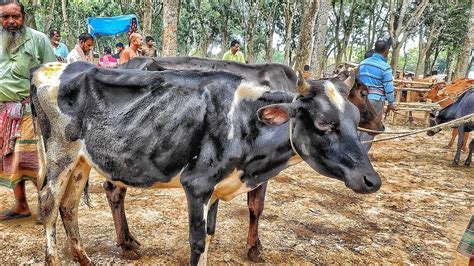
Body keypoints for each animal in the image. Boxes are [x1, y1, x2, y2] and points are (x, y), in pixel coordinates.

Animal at [30, 61, 382, 264]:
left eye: (353, 118)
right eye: (323, 123)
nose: (372, 180)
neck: (244, 122)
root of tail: (50, 68)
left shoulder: (216, 188)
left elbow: (211, 235)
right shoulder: (197, 184)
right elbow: (198, 242)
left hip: (81, 161)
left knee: (69, 206)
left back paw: (85, 259)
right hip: (60, 155)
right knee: (48, 203)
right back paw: (56, 259)